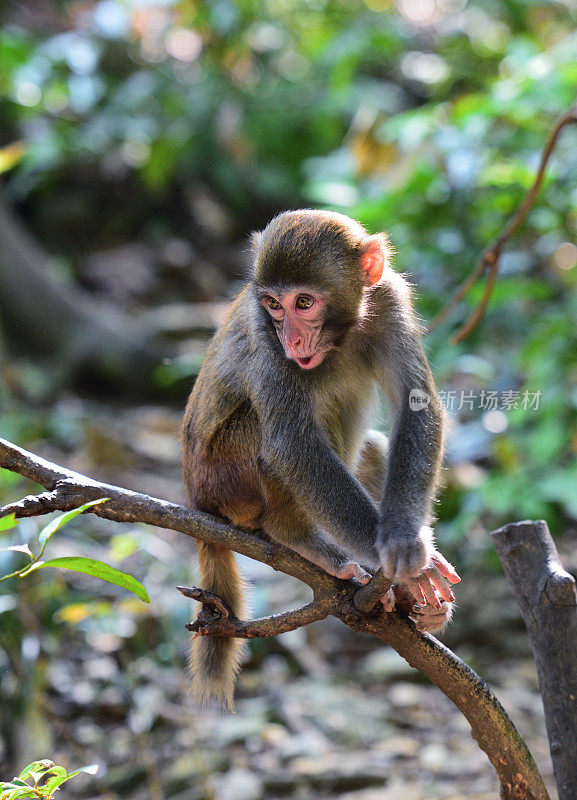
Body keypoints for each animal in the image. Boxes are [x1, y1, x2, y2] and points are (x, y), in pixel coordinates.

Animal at [182, 209, 462, 708]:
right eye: (274, 305)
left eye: (305, 302)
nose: (292, 341)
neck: (342, 333)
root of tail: (195, 496)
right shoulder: (263, 333)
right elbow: (291, 442)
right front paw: (408, 566)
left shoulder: (389, 300)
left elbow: (417, 407)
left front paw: (404, 544)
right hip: (225, 478)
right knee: (273, 430)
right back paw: (297, 536)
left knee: (372, 448)